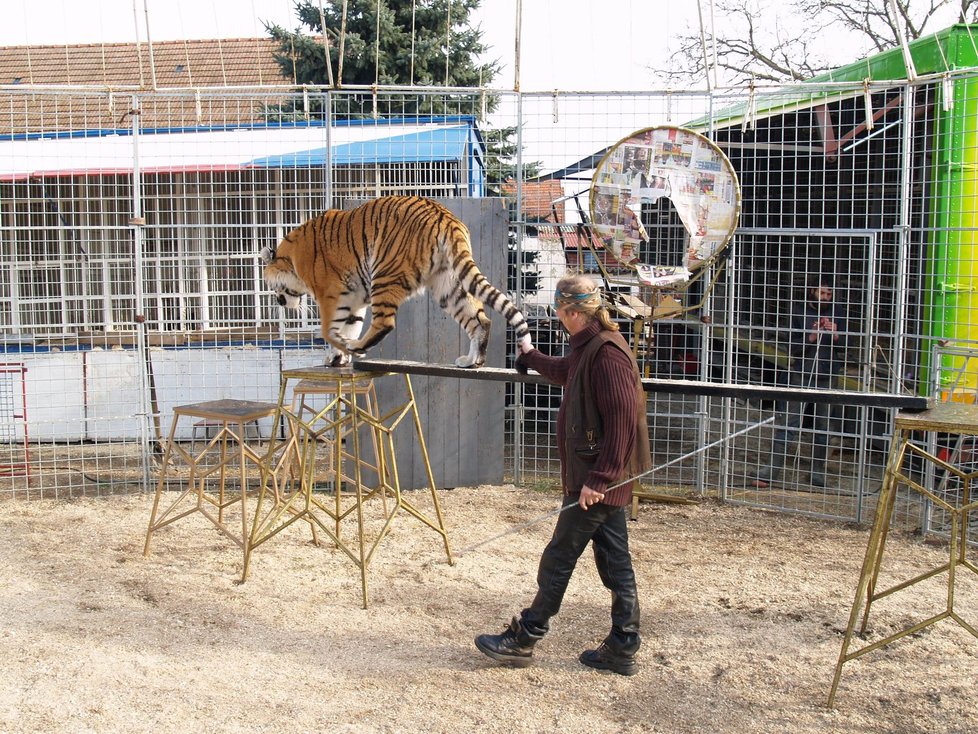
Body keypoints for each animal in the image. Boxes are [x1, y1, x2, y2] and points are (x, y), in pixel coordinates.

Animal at [264, 194, 528, 368]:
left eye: (272, 287)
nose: (278, 302)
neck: (291, 258)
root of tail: (444, 216)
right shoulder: (354, 297)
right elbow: (350, 324)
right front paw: (339, 355)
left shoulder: (331, 293)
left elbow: (329, 330)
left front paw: (343, 347)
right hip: (449, 285)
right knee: (480, 319)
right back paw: (472, 361)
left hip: (385, 273)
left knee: (385, 323)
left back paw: (358, 346)